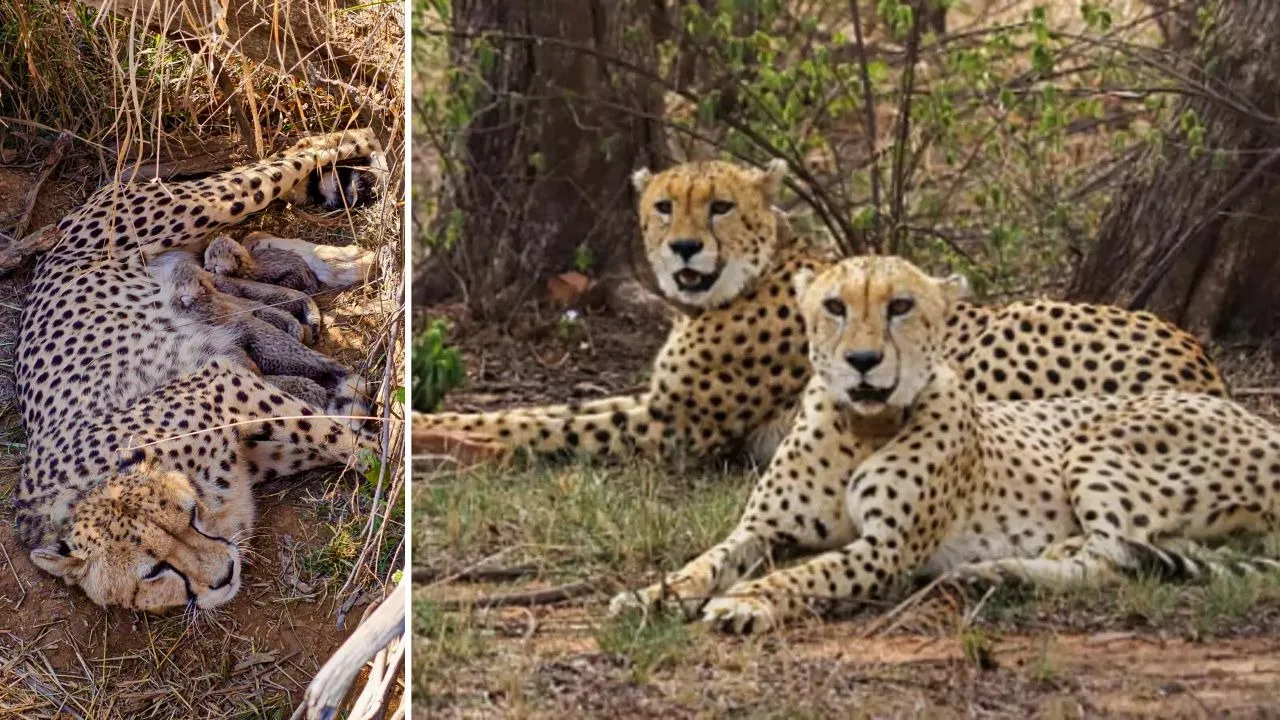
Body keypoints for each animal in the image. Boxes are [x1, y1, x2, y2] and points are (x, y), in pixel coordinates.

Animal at [13, 128, 386, 614]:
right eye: (153, 572)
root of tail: (65, 225)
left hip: (206, 203)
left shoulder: (223, 384)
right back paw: (342, 264)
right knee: (258, 235)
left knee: (312, 148)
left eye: (189, 515)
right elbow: (331, 429)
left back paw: (370, 157)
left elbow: (336, 435)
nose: (224, 575)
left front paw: (395, 458)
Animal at [414, 159, 1225, 463]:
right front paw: (442, 423)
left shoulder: (678, 426)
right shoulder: (662, 405)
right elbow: (548, 409)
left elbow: (542, 423)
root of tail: (1201, 360)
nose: (682, 249)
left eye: (719, 206)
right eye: (665, 206)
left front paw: (441, 434)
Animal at [610, 255, 1280, 633]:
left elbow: (808, 573)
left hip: (1099, 444)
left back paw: (998, 570)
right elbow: (706, 561)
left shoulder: (887, 550)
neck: (861, 428)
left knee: (1111, 558)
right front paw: (652, 594)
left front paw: (747, 602)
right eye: (834, 306)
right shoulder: (761, 529)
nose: (862, 361)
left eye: (901, 306)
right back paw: (993, 574)